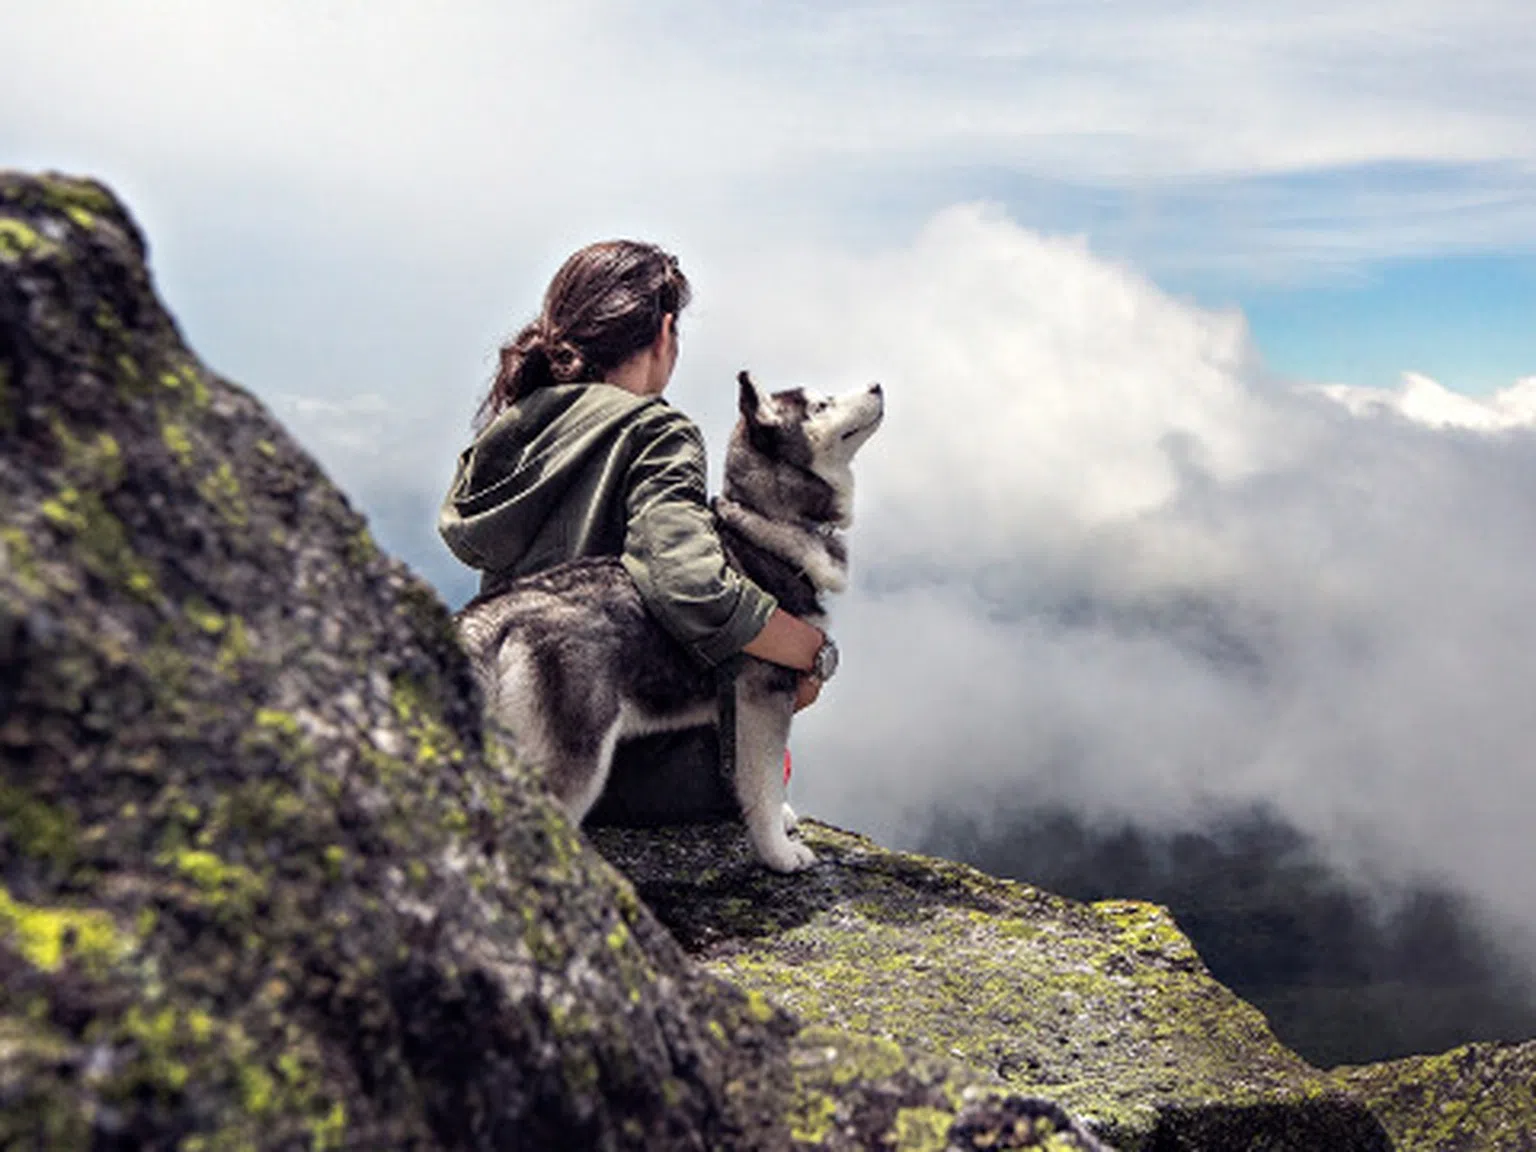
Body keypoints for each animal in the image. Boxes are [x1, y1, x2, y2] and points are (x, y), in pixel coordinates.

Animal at [454, 374, 884, 872]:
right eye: (820, 405)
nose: (877, 385)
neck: (765, 524)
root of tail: (494, 611)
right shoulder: (763, 698)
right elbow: (764, 782)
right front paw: (778, 853)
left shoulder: (734, 713)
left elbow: (751, 780)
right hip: (577, 757)